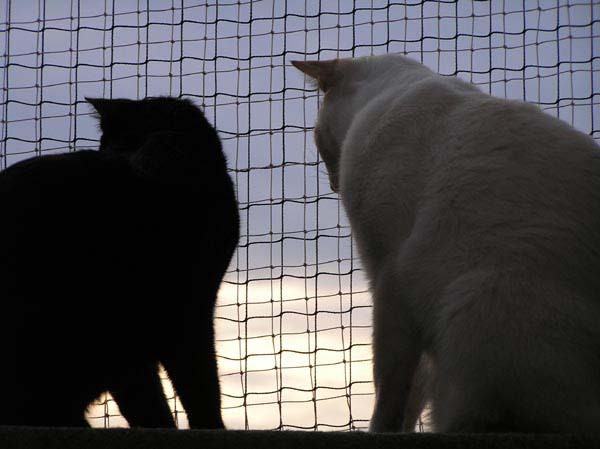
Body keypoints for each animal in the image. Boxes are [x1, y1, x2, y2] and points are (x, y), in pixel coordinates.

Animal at [292, 54, 600, 432]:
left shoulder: (388, 275)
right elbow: (412, 392)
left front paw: (380, 431)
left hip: (478, 297)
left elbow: (390, 388)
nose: (334, 184)